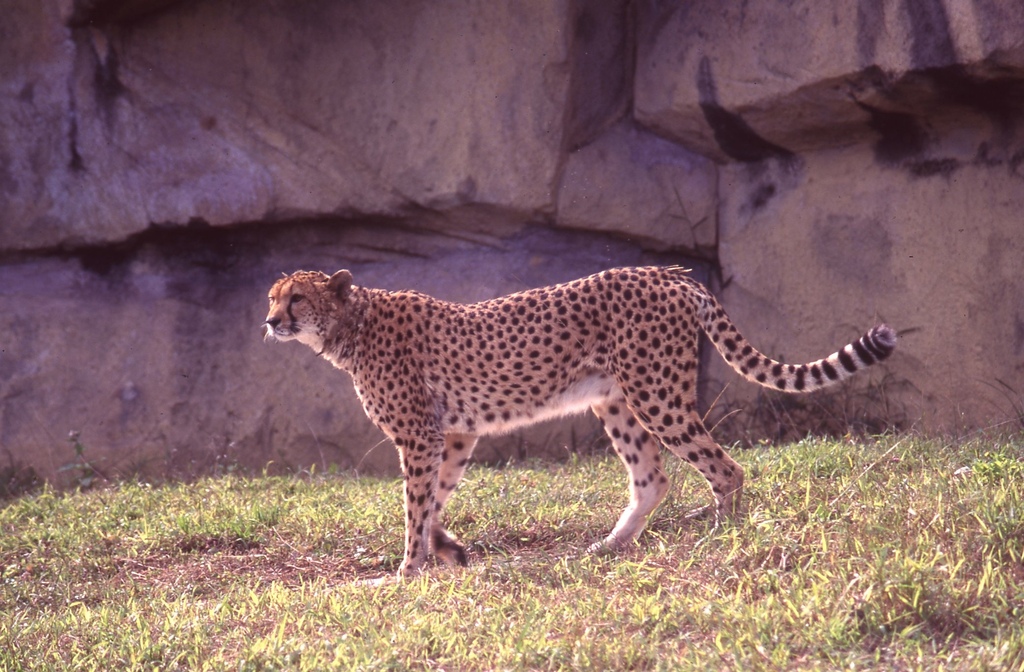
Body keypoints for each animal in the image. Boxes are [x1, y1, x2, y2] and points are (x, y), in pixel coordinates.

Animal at [263, 266, 896, 577]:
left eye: (296, 299)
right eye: (272, 297)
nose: (269, 322)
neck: (352, 322)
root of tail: (668, 272)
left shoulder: (421, 436)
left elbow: (415, 508)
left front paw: (406, 570)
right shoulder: (455, 434)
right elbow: (435, 501)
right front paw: (447, 551)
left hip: (655, 392)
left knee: (725, 467)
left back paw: (721, 535)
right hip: (615, 400)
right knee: (653, 477)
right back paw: (610, 547)